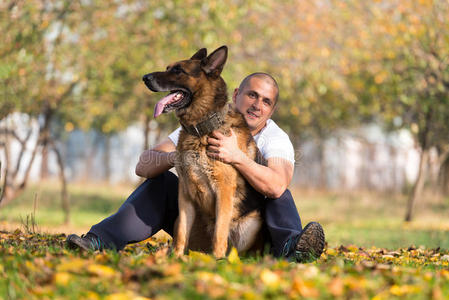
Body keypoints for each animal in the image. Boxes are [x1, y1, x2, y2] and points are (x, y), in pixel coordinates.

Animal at [142, 46, 264, 258]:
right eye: (168, 68)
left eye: (178, 70)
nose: (144, 78)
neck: (200, 129)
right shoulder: (185, 195)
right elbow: (181, 232)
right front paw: (176, 258)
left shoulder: (224, 191)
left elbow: (220, 233)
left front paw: (217, 261)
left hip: (251, 224)